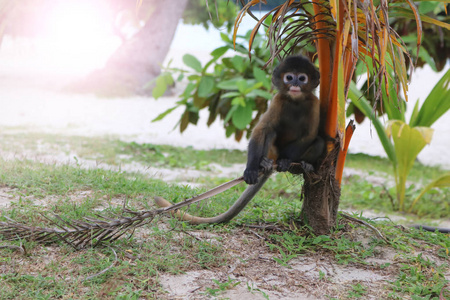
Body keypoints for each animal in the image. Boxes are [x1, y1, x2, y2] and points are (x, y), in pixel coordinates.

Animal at [154, 55, 324, 225]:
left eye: (302, 78)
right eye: (289, 77)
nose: (295, 84)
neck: (296, 101)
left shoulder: (314, 103)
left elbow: (309, 135)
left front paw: (286, 160)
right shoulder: (278, 99)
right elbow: (261, 130)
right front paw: (251, 169)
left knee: (321, 141)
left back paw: (301, 165)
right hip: (272, 151)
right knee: (270, 132)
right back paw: (264, 163)